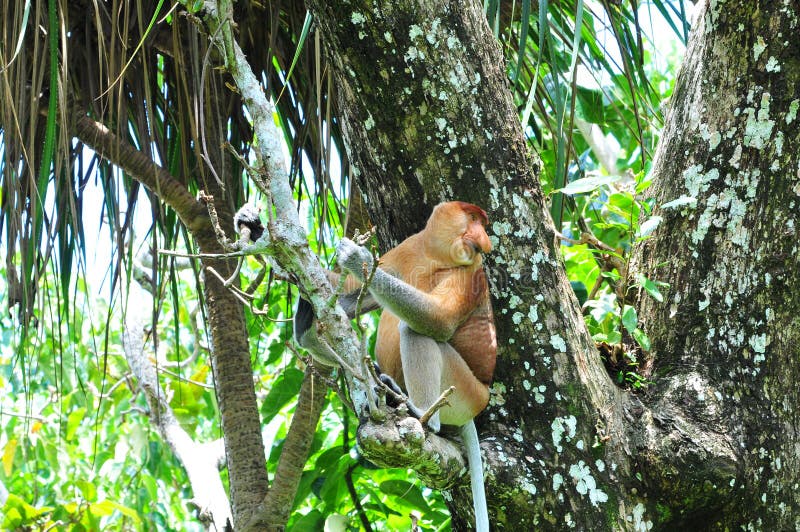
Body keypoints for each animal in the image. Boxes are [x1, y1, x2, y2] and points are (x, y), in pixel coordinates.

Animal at [294, 201, 494, 532]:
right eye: (474, 218)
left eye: (482, 222)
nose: (485, 240)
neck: (434, 256)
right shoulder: (406, 248)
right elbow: (348, 299)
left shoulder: (472, 274)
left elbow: (437, 320)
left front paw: (355, 256)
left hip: (467, 393)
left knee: (416, 331)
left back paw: (421, 415)